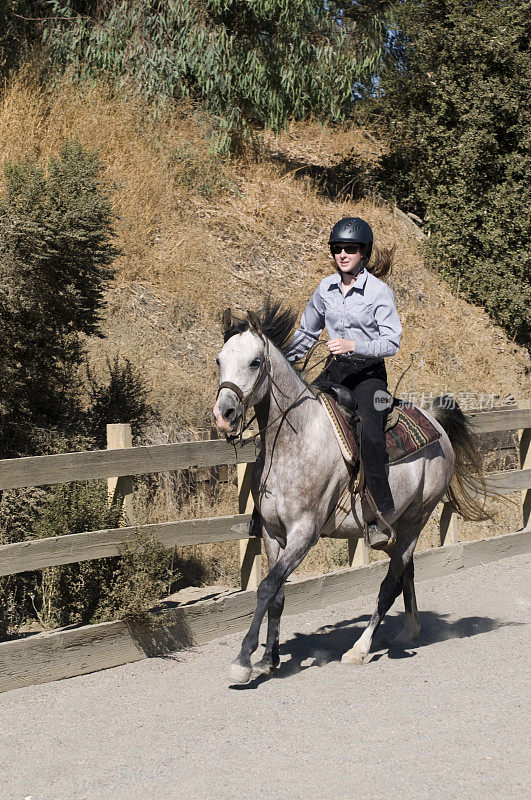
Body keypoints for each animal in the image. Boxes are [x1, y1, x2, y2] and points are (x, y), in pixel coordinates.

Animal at [212, 300, 490, 680]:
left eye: (255, 361)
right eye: (219, 360)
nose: (223, 414)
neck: (295, 443)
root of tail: (435, 422)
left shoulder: (304, 533)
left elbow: (268, 586)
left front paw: (243, 660)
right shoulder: (271, 533)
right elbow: (277, 594)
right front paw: (270, 658)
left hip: (416, 519)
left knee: (390, 583)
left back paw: (360, 649)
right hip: (398, 525)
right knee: (405, 570)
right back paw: (410, 629)